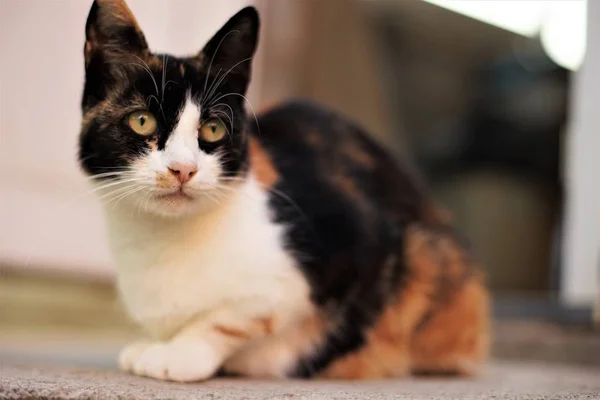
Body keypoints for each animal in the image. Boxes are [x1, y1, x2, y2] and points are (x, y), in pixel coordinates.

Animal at [79, 0, 490, 382]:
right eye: (141, 121)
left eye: (213, 129)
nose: (183, 169)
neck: (164, 239)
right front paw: (155, 344)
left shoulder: (353, 239)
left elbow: (238, 315)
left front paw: (179, 353)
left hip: (426, 254)